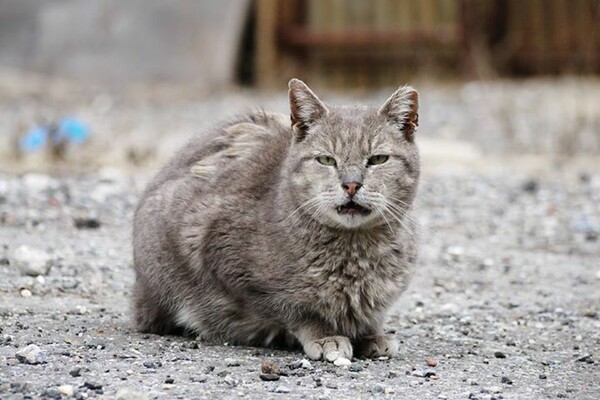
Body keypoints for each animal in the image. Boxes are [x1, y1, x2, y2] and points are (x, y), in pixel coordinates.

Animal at [133, 79, 420, 362]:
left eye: (378, 159)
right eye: (326, 159)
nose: (351, 184)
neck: (355, 252)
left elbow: (367, 315)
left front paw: (371, 335)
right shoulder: (221, 256)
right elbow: (296, 310)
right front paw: (326, 336)